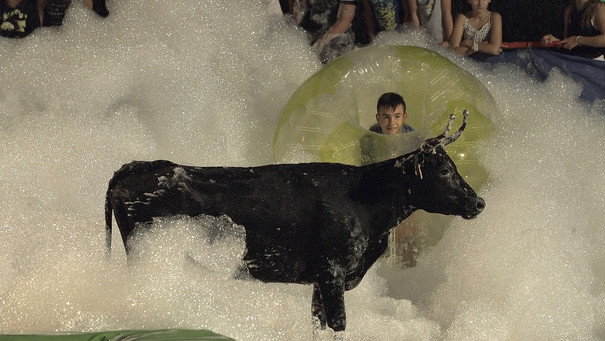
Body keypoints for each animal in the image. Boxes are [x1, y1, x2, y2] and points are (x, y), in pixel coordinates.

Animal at [102, 110, 482, 330]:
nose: (478, 202)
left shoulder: (319, 280)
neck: (364, 198)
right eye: (444, 170)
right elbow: (339, 325)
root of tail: (138, 165)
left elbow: (317, 324)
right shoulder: (332, 272)